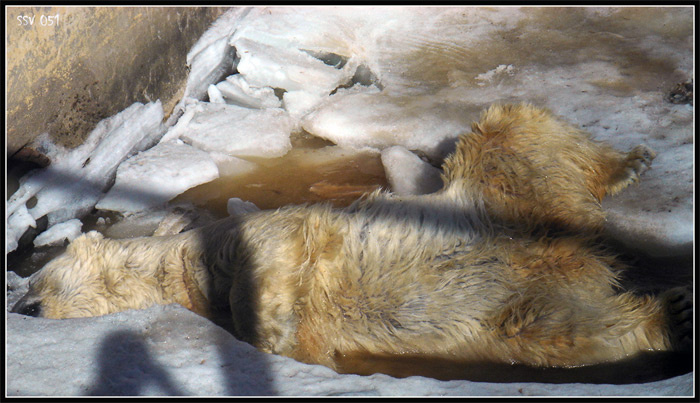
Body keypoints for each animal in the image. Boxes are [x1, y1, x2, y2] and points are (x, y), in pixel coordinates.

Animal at [11, 103, 692, 379]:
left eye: (35, 284)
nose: (26, 307)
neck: (179, 269)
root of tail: (573, 249)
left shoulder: (252, 234)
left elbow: (265, 264)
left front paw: (269, 327)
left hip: (494, 197)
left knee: (511, 135)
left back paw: (625, 164)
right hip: (518, 309)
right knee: (570, 331)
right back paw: (670, 315)